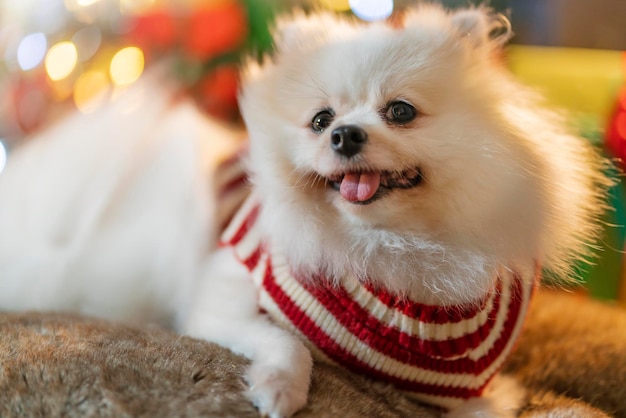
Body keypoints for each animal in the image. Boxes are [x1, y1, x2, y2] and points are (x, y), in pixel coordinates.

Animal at [0, 3, 608, 418]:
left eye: (401, 111)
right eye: (320, 120)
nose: (344, 134)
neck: (388, 248)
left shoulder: (477, 384)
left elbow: (487, 406)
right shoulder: (219, 298)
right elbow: (290, 343)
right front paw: (276, 388)